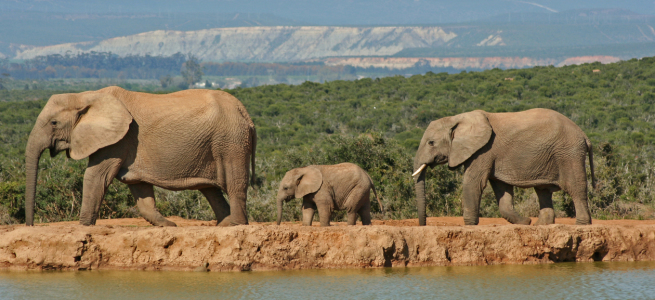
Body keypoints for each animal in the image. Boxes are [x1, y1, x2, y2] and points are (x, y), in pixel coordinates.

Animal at [25, 85, 256, 226]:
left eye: (54, 123)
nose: (31, 224)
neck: (87, 95)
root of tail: (244, 111)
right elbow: (138, 185)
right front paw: (169, 225)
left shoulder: (119, 139)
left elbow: (96, 176)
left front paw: (84, 227)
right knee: (210, 190)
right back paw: (223, 224)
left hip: (231, 141)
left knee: (234, 185)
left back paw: (234, 224)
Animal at [416, 109, 596, 226]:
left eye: (431, 143)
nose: (423, 224)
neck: (456, 119)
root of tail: (584, 136)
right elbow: (501, 188)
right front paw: (524, 222)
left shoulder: (484, 150)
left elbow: (473, 182)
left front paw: (470, 225)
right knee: (543, 190)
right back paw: (540, 225)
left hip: (569, 153)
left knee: (575, 187)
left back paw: (581, 225)